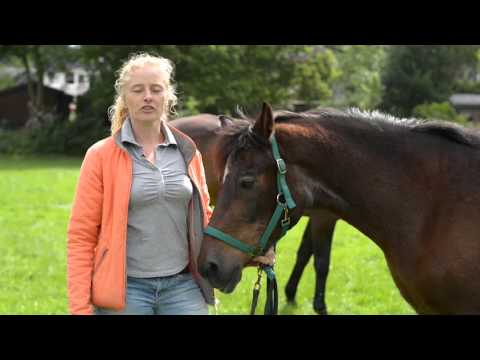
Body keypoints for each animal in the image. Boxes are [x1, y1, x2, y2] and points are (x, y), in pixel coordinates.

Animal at [171, 114, 336, 314]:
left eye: (247, 181)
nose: (209, 267)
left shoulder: (322, 217)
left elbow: (309, 255)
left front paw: (294, 296)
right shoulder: (323, 217)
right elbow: (320, 260)